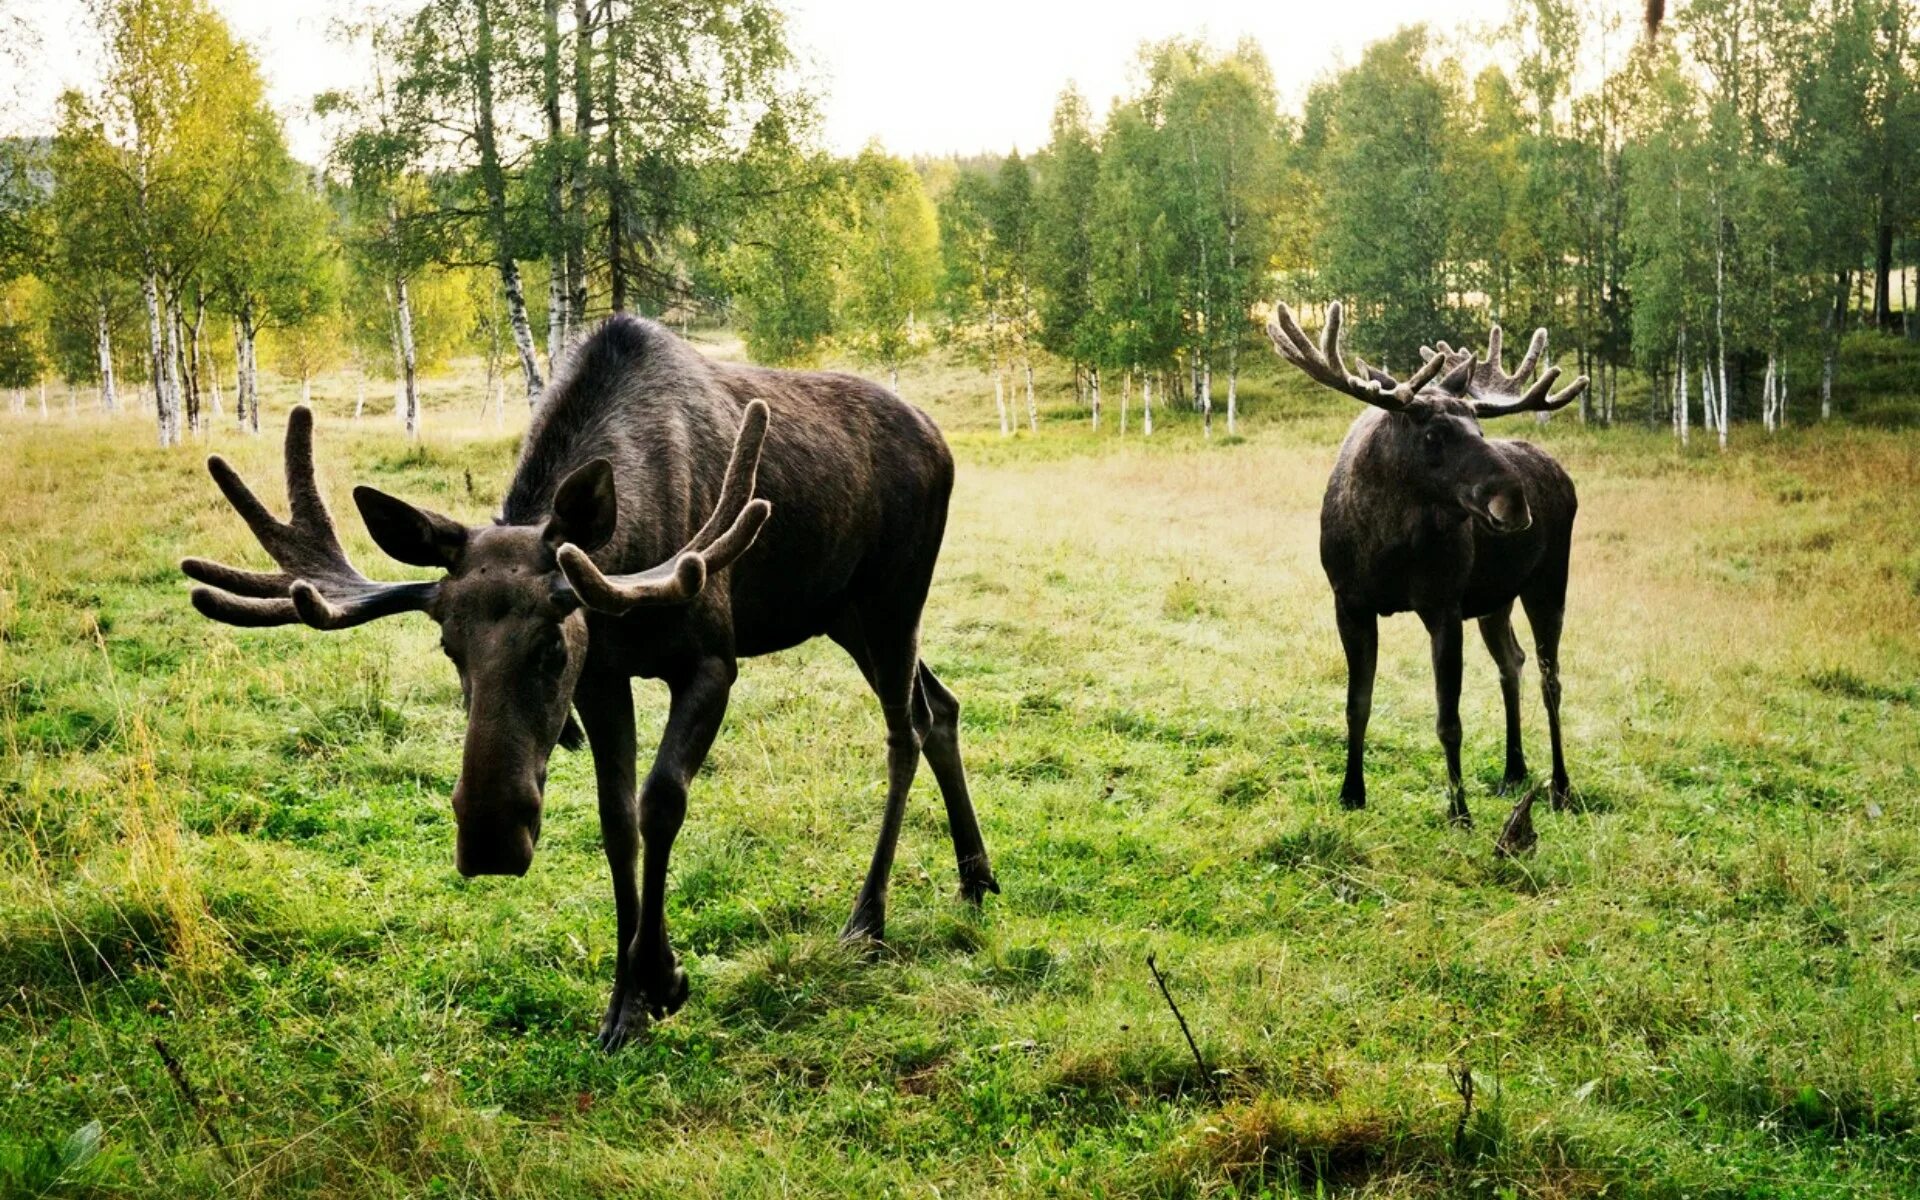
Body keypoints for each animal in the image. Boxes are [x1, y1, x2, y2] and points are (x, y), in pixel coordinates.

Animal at [180, 312, 998, 1044]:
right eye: (448, 648)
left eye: (551, 645)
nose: (489, 839)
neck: (632, 554)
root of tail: (942, 440)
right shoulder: (605, 676)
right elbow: (615, 822)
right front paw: (624, 1005)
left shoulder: (712, 659)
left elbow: (659, 801)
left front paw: (661, 977)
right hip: (841, 610)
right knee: (943, 704)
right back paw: (975, 874)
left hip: (892, 597)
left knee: (904, 727)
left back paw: (869, 917)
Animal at [1259, 303, 1589, 856]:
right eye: (1433, 435)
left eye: (1480, 428)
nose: (1514, 503)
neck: (1386, 544)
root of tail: (1562, 472)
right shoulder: (1349, 602)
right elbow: (1357, 704)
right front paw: (1352, 793)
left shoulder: (1444, 606)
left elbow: (1448, 719)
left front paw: (1459, 812)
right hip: (1495, 598)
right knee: (1512, 661)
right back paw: (1513, 771)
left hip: (1548, 580)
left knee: (1551, 678)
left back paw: (1560, 786)